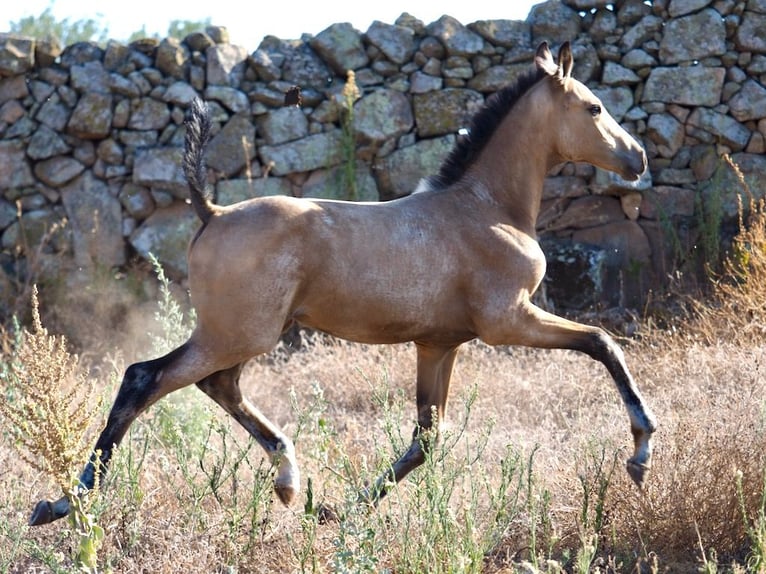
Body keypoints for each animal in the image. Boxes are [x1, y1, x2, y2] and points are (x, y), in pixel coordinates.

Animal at [29, 41, 656, 526]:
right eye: (594, 106)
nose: (638, 158)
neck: (486, 208)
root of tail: (212, 211)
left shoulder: (439, 344)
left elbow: (425, 439)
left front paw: (338, 510)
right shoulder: (510, 321)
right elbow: (603, 343)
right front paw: (641, 451)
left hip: (240, 336)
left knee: (218, 385)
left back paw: (288, 481)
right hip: (238, 334)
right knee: (146, 378)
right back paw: (67, 503)